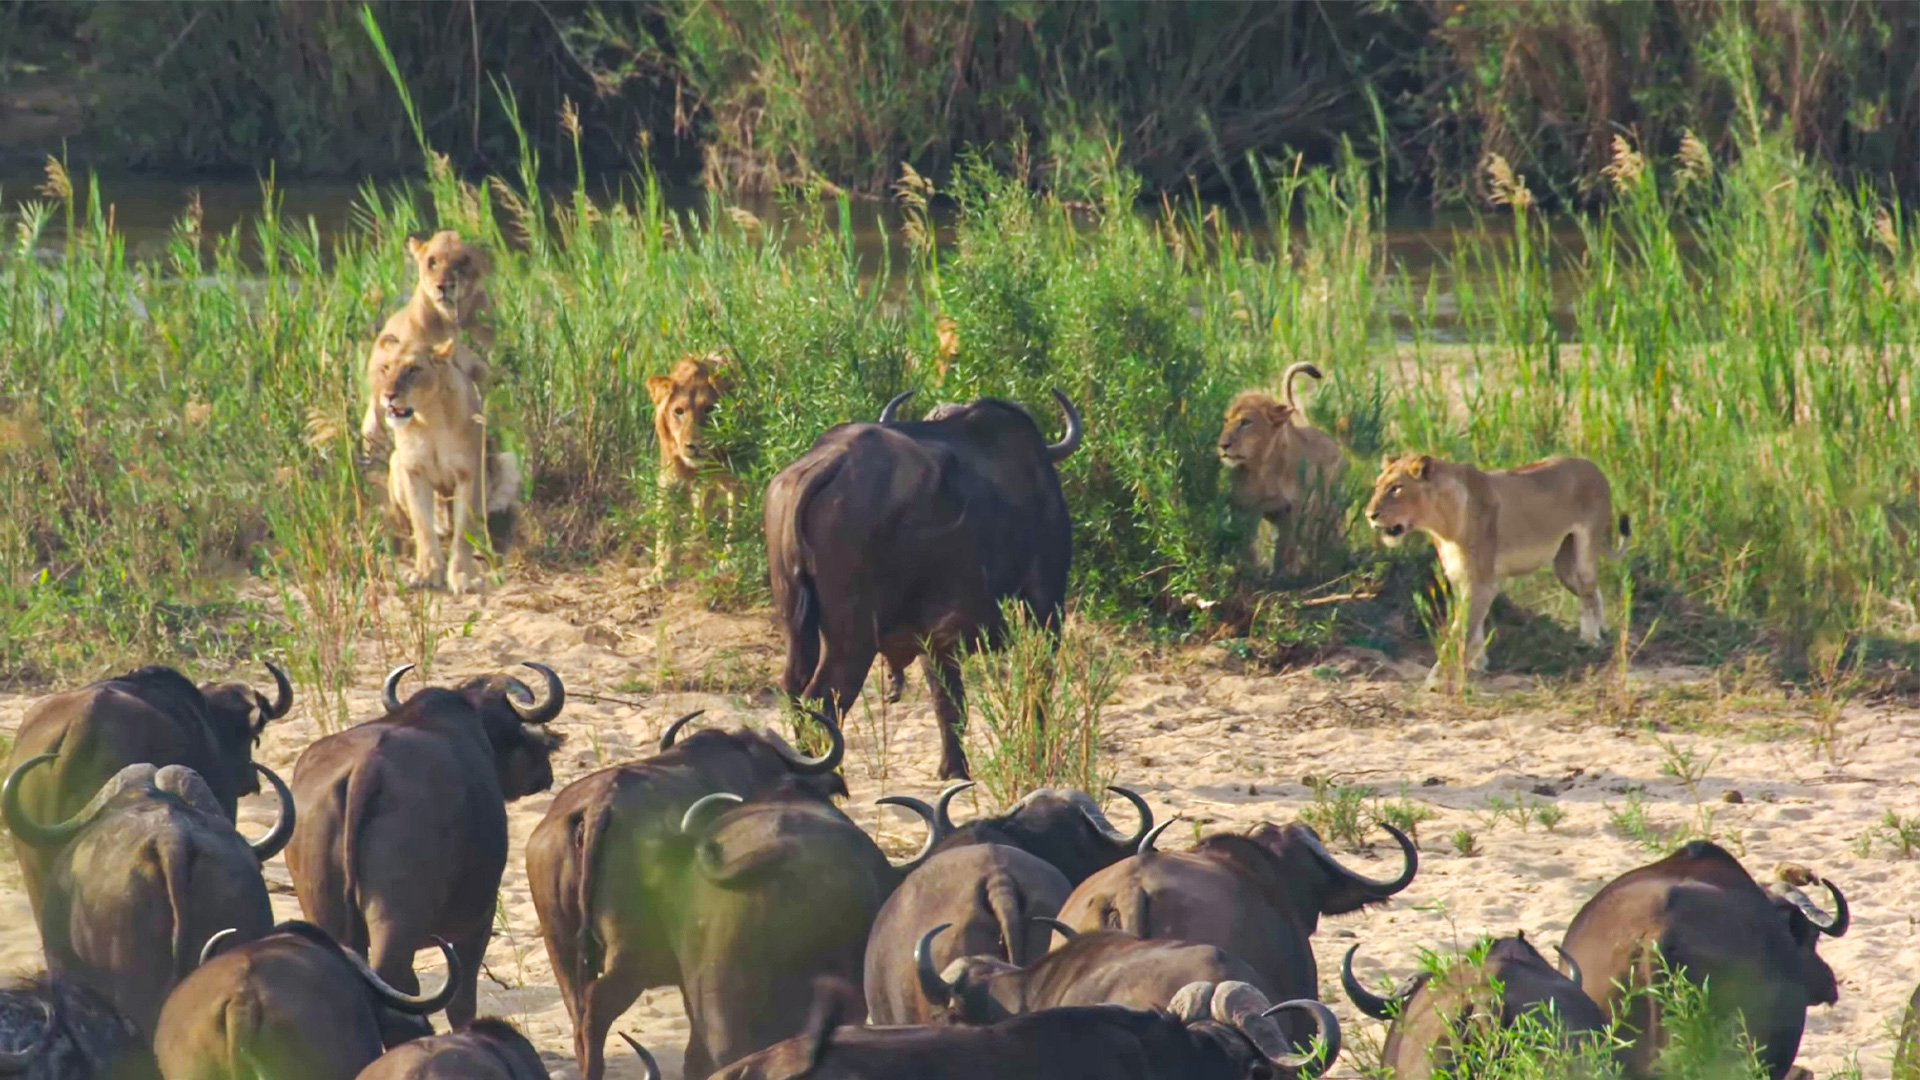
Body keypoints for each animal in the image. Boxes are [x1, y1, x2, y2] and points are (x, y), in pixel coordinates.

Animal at [286, 663, 564, 1030]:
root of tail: (367, 768)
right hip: (398, 919)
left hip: (324, 909)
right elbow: (462, 1001)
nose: (544, 774)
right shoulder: (478, 920)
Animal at [372, 337, 521, 594]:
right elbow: (422, 525)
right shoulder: (413, 470)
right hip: (395, 462)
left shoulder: (469, 473)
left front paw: (462, 575)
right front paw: (426, 572)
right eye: (386, 368)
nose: (388, 395)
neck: (428, 418)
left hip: (507, 462)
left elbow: (464, 531)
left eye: (413, 369)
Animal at [766, 390, 1082, 779]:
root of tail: (827, 463)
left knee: (794, 688)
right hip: (852, 638)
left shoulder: (936, 637)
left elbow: (947, 700)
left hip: (798, 626)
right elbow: (1037, 681)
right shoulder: (1046, 603)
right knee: (824, 699)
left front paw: (953, 768)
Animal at [1217, 362, 1348, 576]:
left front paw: (1282, 575)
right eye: (1226, 420)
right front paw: (1251, 570)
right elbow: (1248, 545)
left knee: (1328, 533)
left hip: (1330, 508)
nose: (1223, 445)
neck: (1261, 471)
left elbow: (1285, 548)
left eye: (1246, 422)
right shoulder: (1246, 509)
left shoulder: (1292, 511)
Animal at [1366, 452, 1629, 686]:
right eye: (1378, 486)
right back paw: (1601, 631)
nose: (1369, 515)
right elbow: (1473, 627)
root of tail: (1593, 466)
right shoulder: (1461, 579)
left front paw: (1436, 677)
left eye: (1396, 488)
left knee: (1589, 593)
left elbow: (1460, 630)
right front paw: (1478, 664)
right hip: (1564, 565)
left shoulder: (1482, 583)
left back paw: (1591, 640)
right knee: (1592, 591)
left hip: (1585, 549)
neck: (1441, 522)